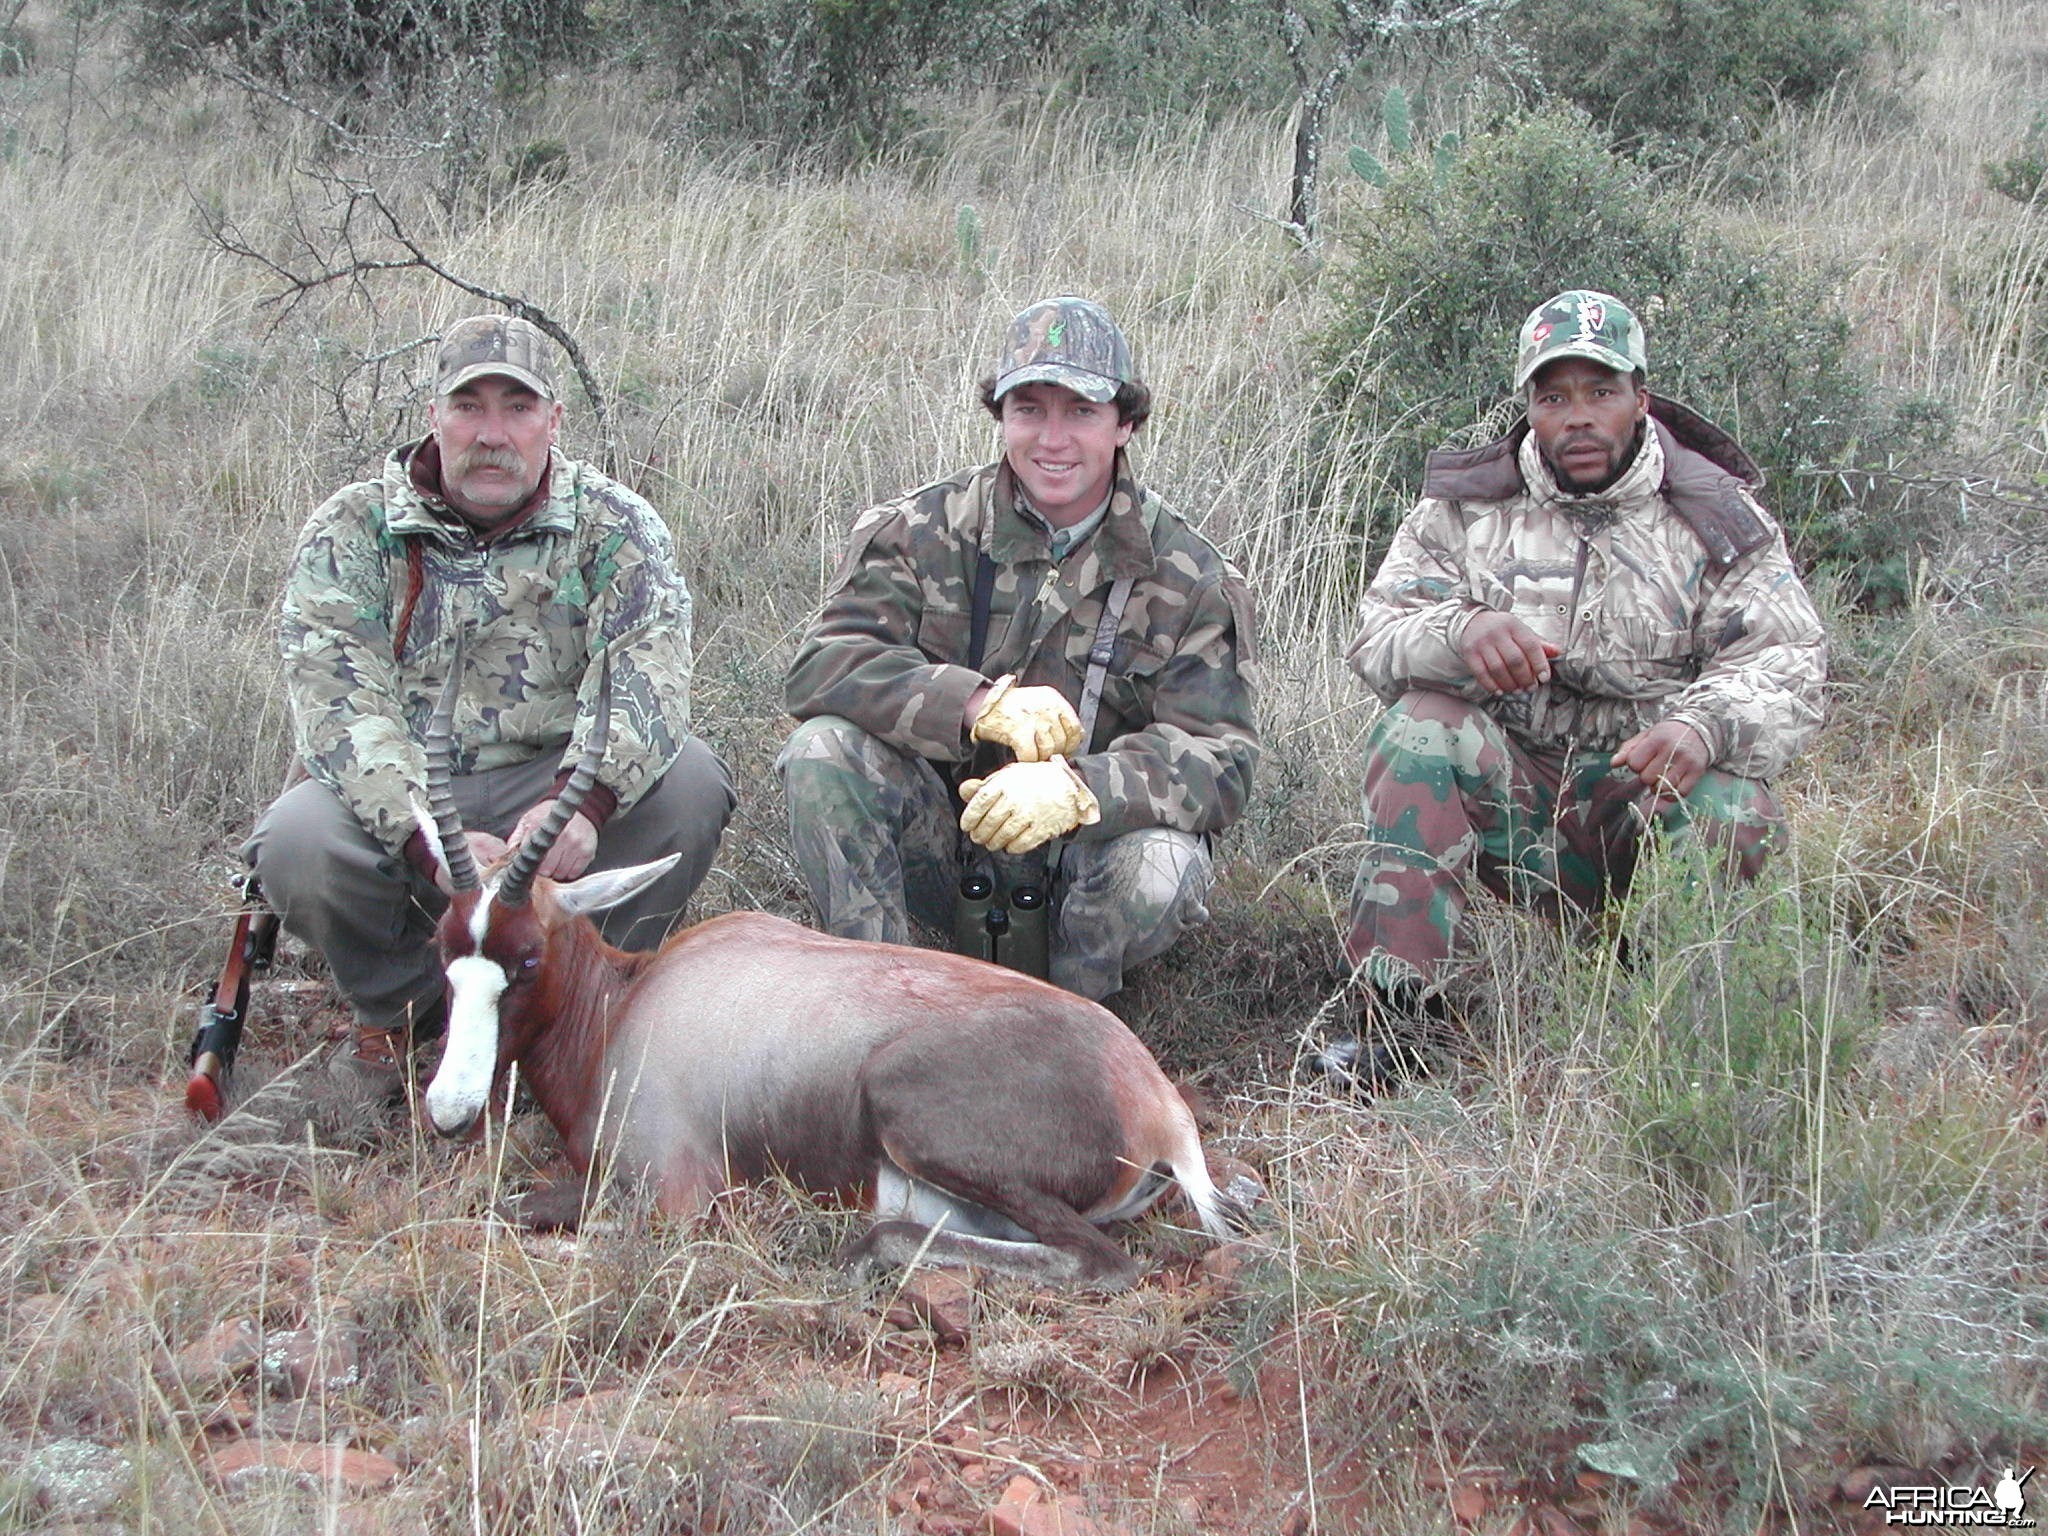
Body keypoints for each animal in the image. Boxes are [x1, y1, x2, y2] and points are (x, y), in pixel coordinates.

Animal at [409, 659, 1253, 1286]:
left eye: (526, 957)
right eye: (443, 948)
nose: (448, 1112)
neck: (630, 1000)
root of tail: (1152, 1098)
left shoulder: (678, 1199)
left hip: (911, 1111)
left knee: (1094, 1259)